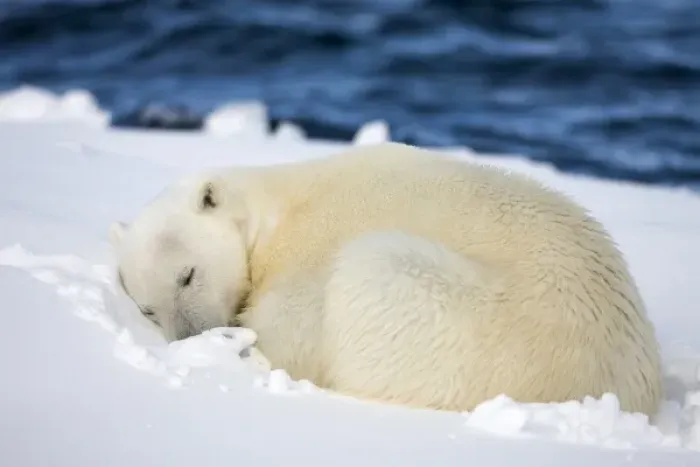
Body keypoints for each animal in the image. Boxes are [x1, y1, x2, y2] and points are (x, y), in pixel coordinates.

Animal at [109, 141, 663, 417]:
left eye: (187, 275)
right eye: (148, 309)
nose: (191, 338)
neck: (279, 206)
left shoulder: (315, 241)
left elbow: (293, 333)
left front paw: (243, 342)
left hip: (471, 328)